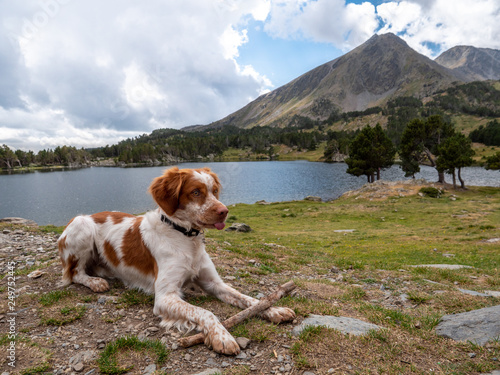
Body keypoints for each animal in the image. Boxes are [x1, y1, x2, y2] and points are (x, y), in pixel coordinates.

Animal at [57, 167, 294, 356]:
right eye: (196, 192)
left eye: (214, 191)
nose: (224, 211)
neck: (186, 237)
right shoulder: (165, 296)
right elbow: (206, 312)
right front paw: (223, 337)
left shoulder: (214, 283)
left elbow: (249, 299)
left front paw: (275, 309)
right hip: (82, 226)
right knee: (74, 273)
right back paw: (95, 282)